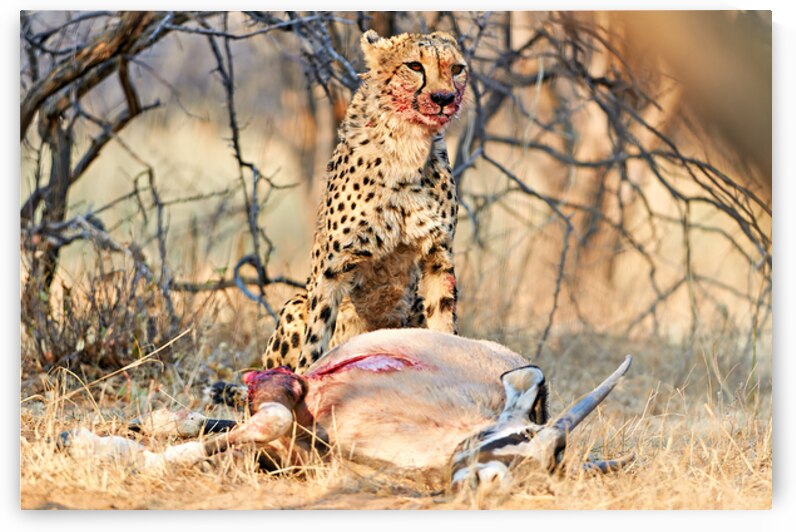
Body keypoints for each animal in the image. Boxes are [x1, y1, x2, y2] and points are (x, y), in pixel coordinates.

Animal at [263, 29, 468, 373]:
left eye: (456, 69)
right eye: (414, 66)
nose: (444, 98)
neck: (407, 145)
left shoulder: (437, 256)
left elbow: (444, 323)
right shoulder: (335, 265)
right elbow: (316, 336)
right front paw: (304, 380)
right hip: (294, 304)